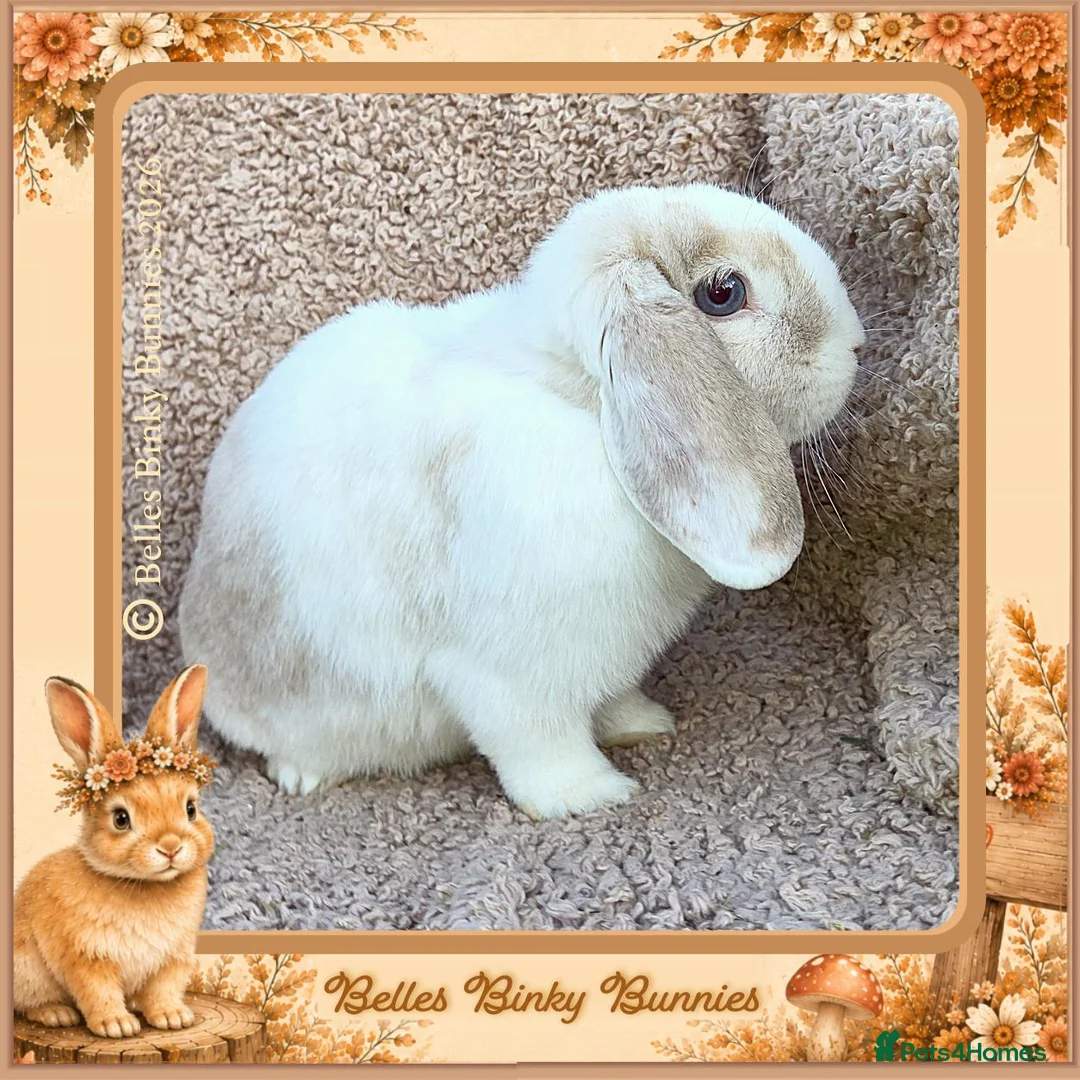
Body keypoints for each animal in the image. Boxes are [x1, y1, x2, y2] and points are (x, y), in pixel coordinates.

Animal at [14, 666, 215, 1038]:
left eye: (191, 808)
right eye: (121, 819)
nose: (170, 847)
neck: (143, 886)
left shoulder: (172, 959)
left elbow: (163, 990)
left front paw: (173, 1018)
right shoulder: (87, 957)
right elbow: (98, 991)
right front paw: (117, 1026)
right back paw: (56, 1014)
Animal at [179, 183, 865, 820]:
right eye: (723, 293)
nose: (856, 344)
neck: (588, 403)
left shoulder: (605, 660)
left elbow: (611, 699)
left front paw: (644, 724)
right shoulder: (510, 676)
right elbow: (538, 743)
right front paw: (591, 794)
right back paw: (301, 775)